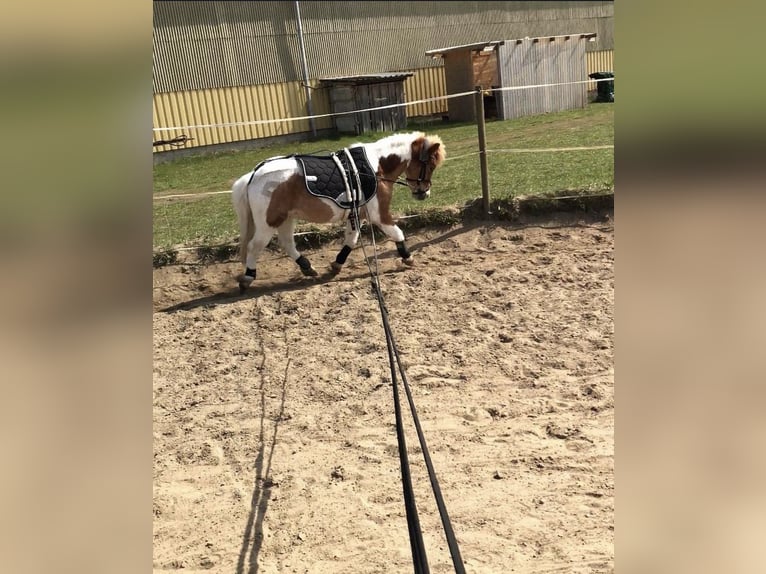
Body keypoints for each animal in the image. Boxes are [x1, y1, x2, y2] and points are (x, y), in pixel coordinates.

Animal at [232, 130, 450, 292]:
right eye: (430, 165)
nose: (424, 193)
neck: (375, 167)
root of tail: (253, 175)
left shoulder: (357, 214)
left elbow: (351, 240)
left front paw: (337, 264)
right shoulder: (379, 214)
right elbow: (397, 233)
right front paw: (407, 257)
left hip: (285, 218)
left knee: (286, 243)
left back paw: (307, 267)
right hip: (268, 222)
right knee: (255, 246)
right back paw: (248, 277)